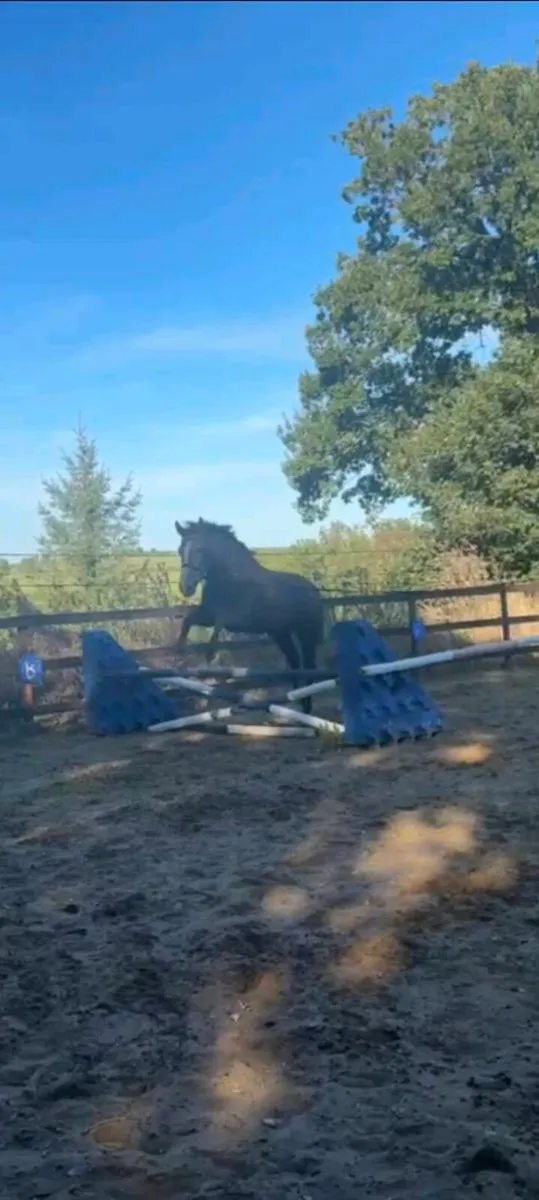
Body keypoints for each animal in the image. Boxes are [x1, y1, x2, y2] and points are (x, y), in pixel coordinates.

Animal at [174, 518, 326, 713]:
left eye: (200, 549)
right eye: (180, 551)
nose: (186, 588)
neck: (230, 578)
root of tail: (313, 589)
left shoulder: (231, 620)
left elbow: (213, 640)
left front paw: (209, 668)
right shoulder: (207, 615)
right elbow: (188, 621)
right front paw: (179, 657)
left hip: (305, 633)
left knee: (308, 665)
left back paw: (306, 706)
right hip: (281, 634)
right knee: (294, 661)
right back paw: (296, 701)